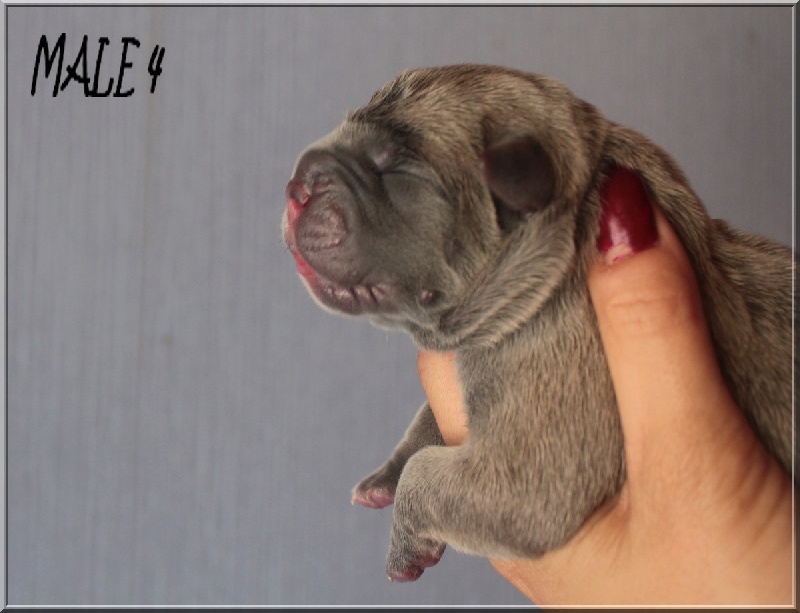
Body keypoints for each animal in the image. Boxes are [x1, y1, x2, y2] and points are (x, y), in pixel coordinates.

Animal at [281, 64, 794, 582]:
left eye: (398, 170)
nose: (296, 185)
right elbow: (429, 425)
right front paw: (388, 473)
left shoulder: (528, 465)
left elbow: (425, 472)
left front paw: (405, 542)